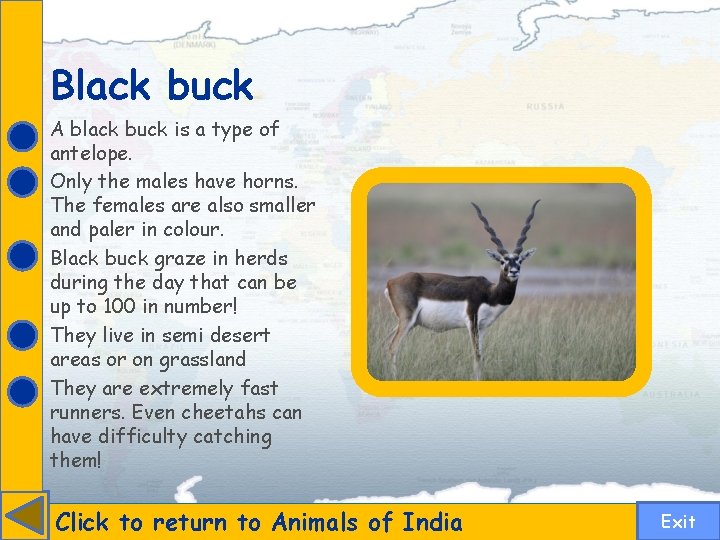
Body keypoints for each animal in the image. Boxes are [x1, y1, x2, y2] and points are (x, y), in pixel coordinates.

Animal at [384, 200, 540, 381]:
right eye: (502, 261)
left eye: (520, 260)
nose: (514, 271)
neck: (490, 293)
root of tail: (391, 281)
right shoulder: (471, 322)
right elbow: (477, 355)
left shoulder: (483, 327)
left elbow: (481, 355)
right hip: (407, 320)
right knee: (393, 347)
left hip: (406, 322)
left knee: (385, 344)